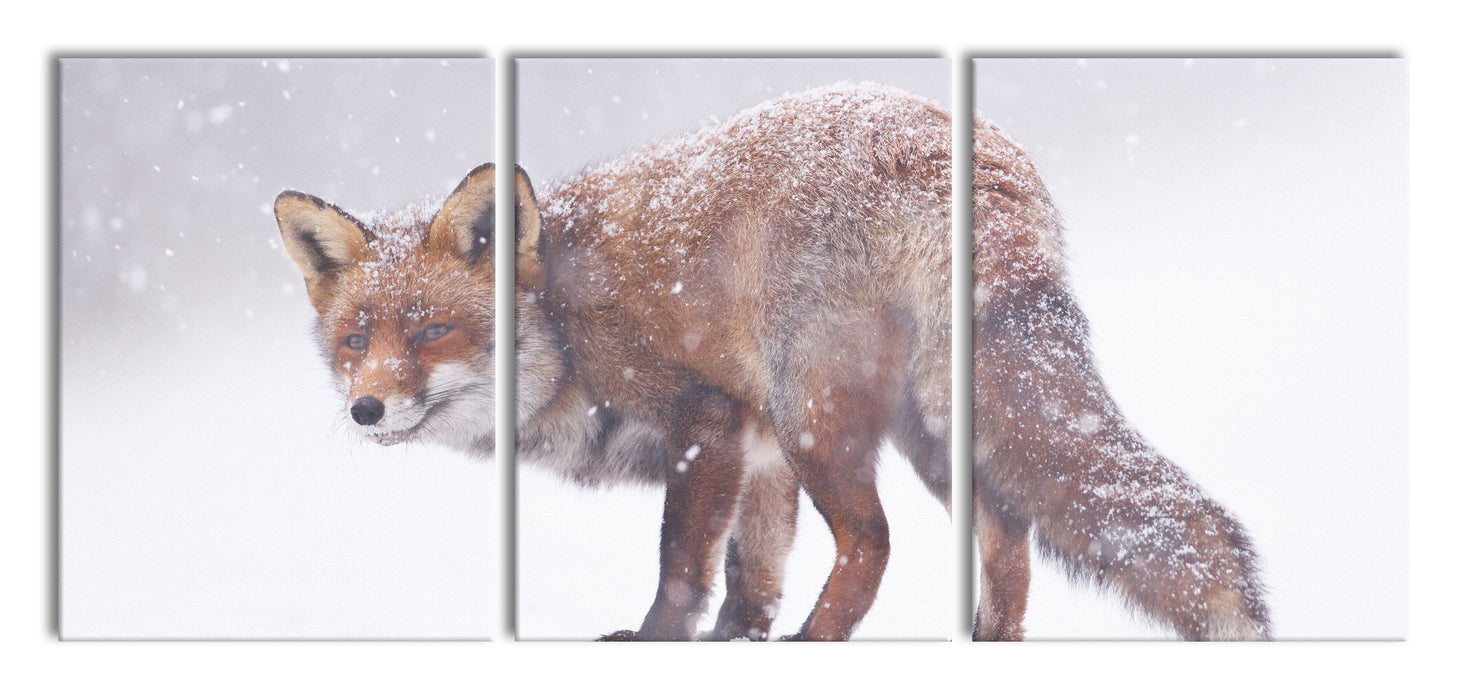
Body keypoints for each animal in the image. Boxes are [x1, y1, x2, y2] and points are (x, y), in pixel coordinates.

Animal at [280, 80, 1268, 639]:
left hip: (818, 416)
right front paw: (739, 646)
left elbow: (684, 570)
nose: (366, 408)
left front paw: (658, 647)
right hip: (933, 432)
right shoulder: (757, 457)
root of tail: (957, 148)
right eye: (357, 342)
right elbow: (750, 579)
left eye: (431, 333)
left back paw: (821, 647)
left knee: (874, 543)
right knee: (1009, 549)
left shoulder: (708, 420)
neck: (563, 325)